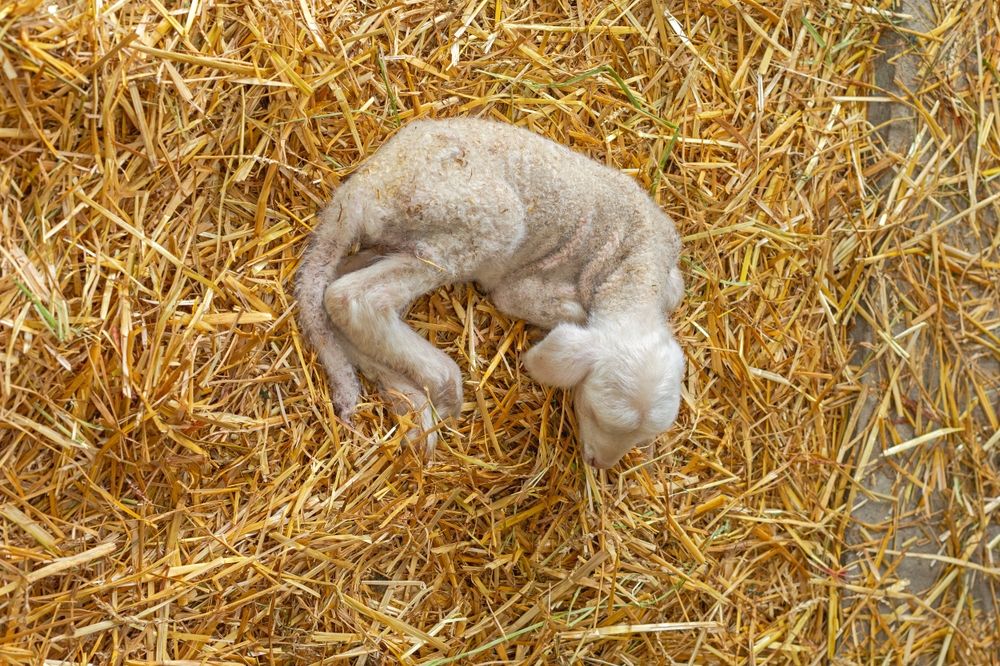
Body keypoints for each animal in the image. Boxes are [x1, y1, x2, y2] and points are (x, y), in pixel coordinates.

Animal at [295, 117, 685, 469]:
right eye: (592, 410)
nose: (598, 464)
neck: (635, 264)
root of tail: (358, 190)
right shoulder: (520, 287)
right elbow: (555, 308)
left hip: (404, 242)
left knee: (332, 298)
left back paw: (409, 401)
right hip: (474, 226)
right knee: (352, 297)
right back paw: (443, 383)